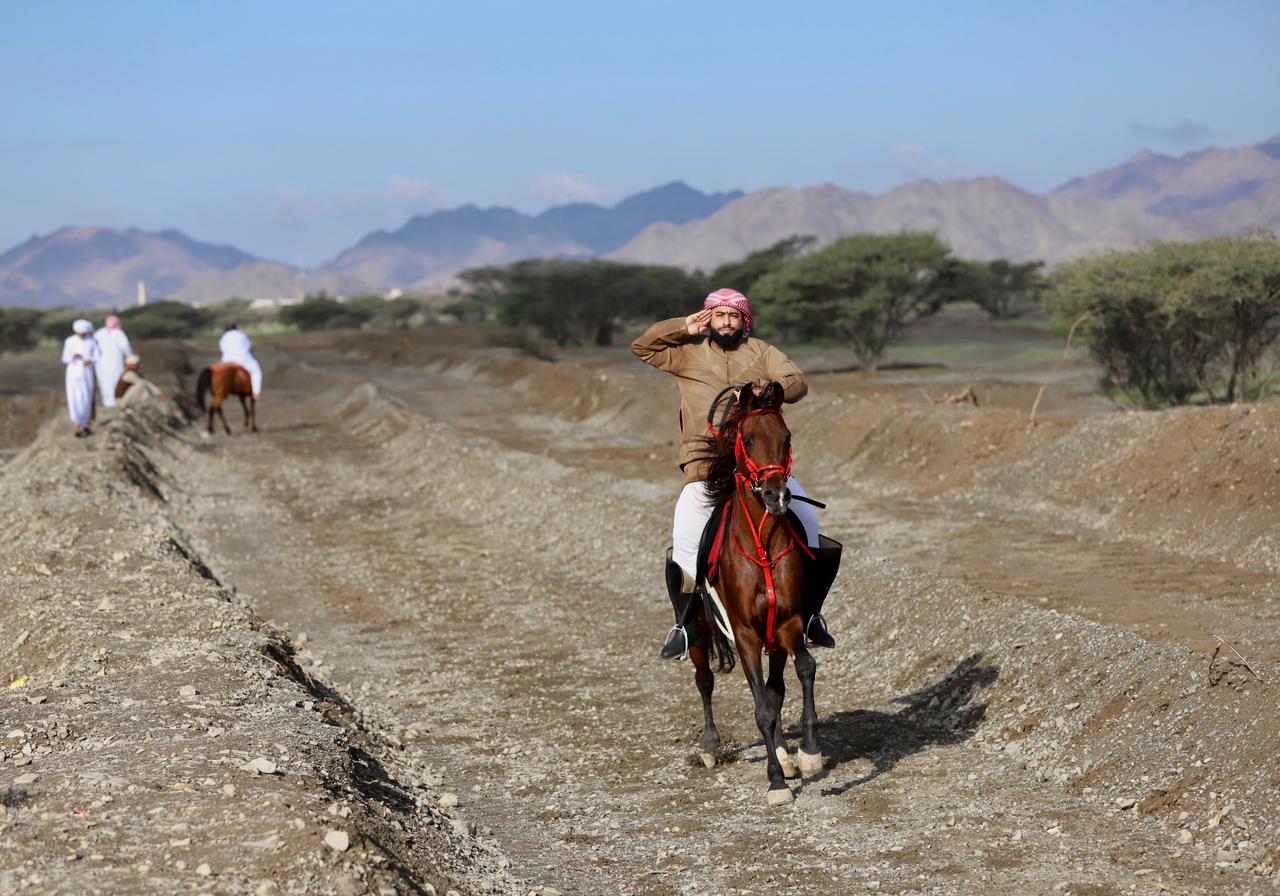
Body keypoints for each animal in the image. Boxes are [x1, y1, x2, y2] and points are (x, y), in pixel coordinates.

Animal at [687, 381, 823, 806]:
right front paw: (776, 782)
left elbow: (804, 670)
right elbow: (761, 707)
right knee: (704, 680)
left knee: (776, 689)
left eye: (787, 438)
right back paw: (710, 747)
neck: (761, 545)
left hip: (773, 640)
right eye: (747, 439)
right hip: (700, 632)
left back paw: (786, 753)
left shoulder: (788, 623)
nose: (777, 495)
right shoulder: (745, 634)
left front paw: (808, 753)